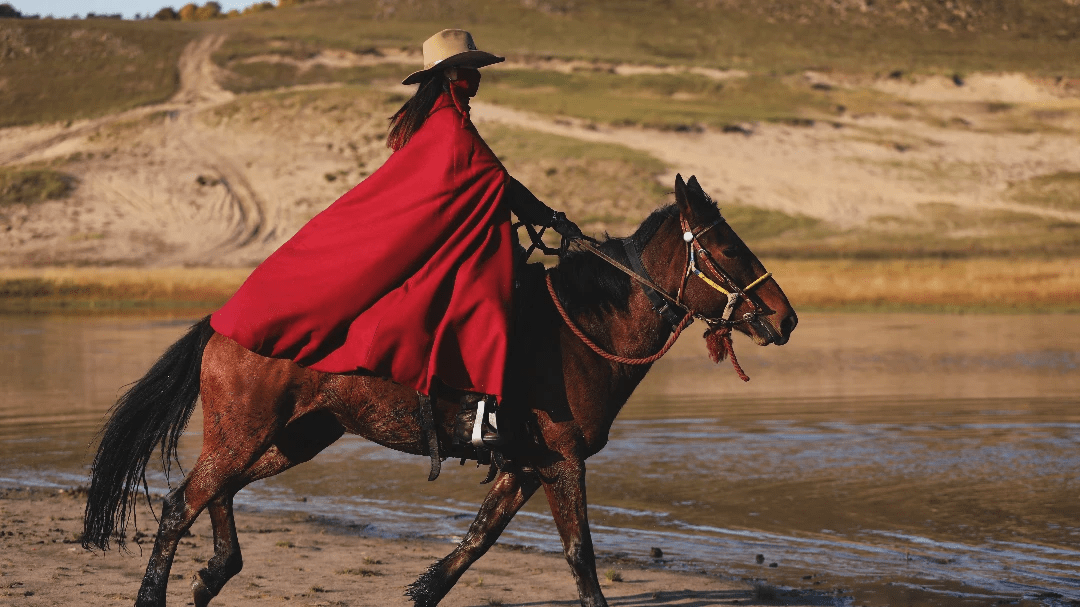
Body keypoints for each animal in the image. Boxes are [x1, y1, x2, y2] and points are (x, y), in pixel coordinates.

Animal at [84, 172, 799, 600]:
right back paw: (163, 592)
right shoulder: (562, 461)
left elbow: (477, 542)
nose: (785, 317)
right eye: (728, 250)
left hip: (292, 437)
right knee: (181, 504)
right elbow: (580, 555)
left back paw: (214, 575)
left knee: (216, 493)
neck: (585, 328)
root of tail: (225, 320)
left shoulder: (524, 465)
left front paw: (423, 589)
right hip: (247, 432)